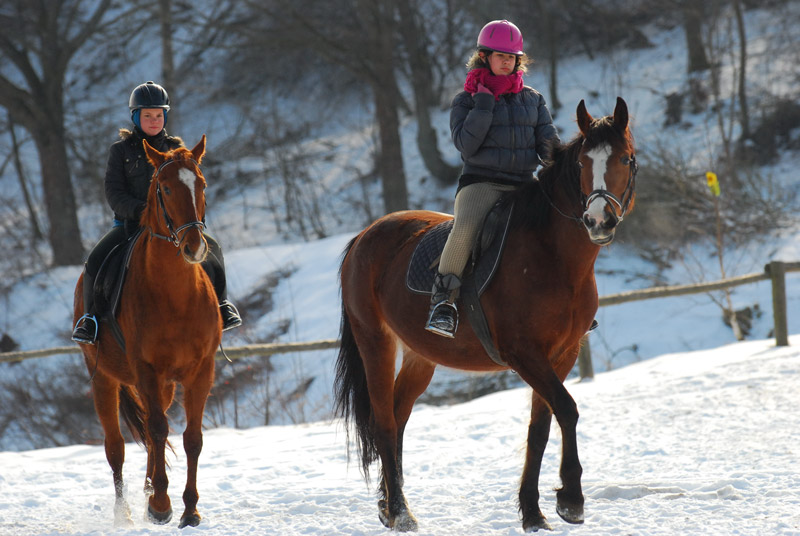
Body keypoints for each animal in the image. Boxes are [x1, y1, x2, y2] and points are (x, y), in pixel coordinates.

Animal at [72, 135, 222, 528]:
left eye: (202, 184)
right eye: (165, 188)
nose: (194, 247)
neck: (175, 296)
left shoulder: (201, 370)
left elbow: (191, 438)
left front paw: (189, 509)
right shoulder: (146, 370)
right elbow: (156, 430)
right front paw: (161, 506)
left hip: (164, 384)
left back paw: (151, 488)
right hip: (104, 380)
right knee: (116, 447)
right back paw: (127, 511)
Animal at [334, 99, 636, 532]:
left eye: (626, 159)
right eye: (582, 163)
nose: (598, 221)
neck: (552, 254)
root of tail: (363, 236)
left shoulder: (562, 355)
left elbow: (540, 428)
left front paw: (533, 513)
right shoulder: (524, 354)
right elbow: (567, 409)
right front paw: (571, 500)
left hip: (420, 356)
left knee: (398, 415)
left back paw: (388, 506)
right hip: (374, 343)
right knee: (385, 423)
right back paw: (400, 513)